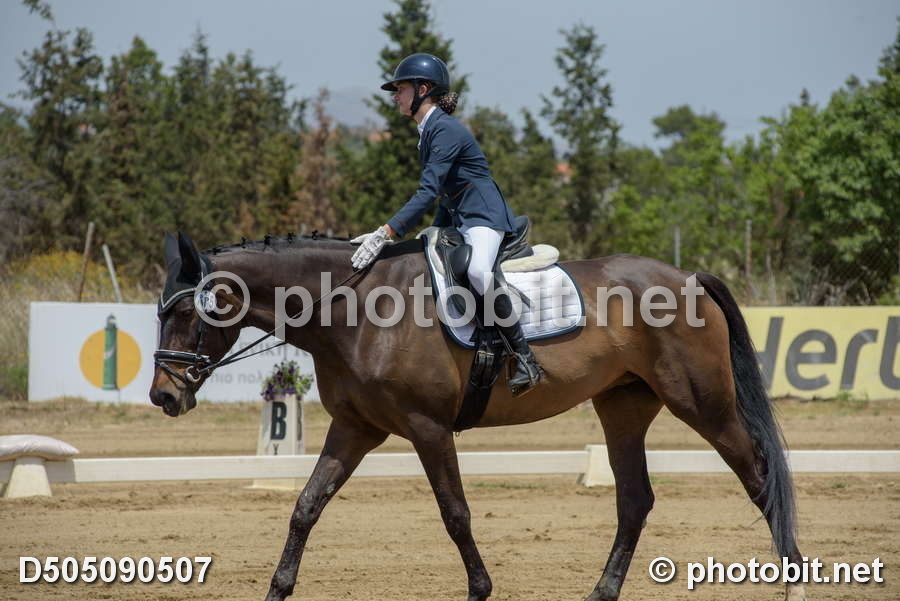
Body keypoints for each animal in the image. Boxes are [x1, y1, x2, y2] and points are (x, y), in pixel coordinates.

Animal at [150, 231, 807, 601]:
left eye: (185, 313)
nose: (163, 398)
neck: (354, 309)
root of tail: (687, 277)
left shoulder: (427, 428)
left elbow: (456, 514)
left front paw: (480, 590)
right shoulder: (356, 428)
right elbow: (305, 507)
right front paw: (278, 589)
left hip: (703, 403)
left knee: (759, 477)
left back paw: (793, 583)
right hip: (622, 406)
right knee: (635, 499)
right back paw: (600, 593)